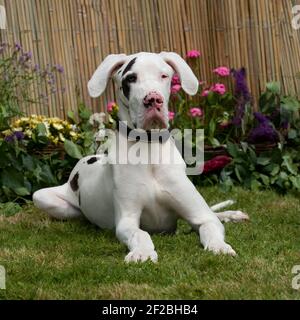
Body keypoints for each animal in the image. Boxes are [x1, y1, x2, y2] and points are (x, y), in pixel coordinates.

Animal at [33, 52, 248, 262]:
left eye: (164, 75)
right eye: (131, 78)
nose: (153, 99)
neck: (149, 146)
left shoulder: (202, 216)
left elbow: (210, 226)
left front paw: (220, 247)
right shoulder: (127, 220)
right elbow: (140, 234)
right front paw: (142, 252)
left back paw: (232, 214)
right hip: (42, 197)